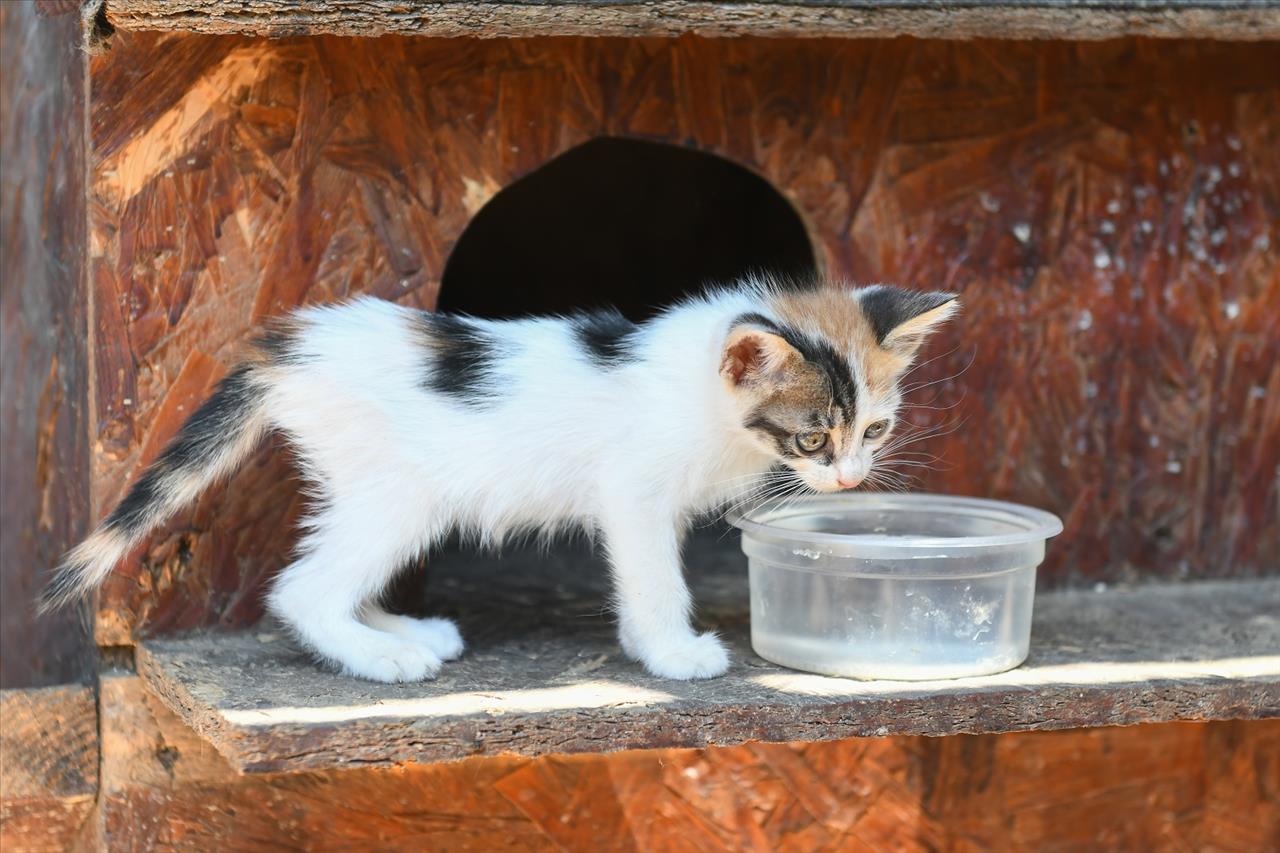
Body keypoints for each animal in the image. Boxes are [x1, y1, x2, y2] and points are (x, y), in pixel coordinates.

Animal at [42, 280, 962, 686]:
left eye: (873, 430)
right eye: (812, 435)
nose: (849, 477)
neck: (703, 395)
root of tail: (290, 348)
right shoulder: (632, 493)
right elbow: (653, 578)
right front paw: (672, 653)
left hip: (376, 486)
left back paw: (399, 629)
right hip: (402, 493)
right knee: (301, 587)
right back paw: (381, 657)